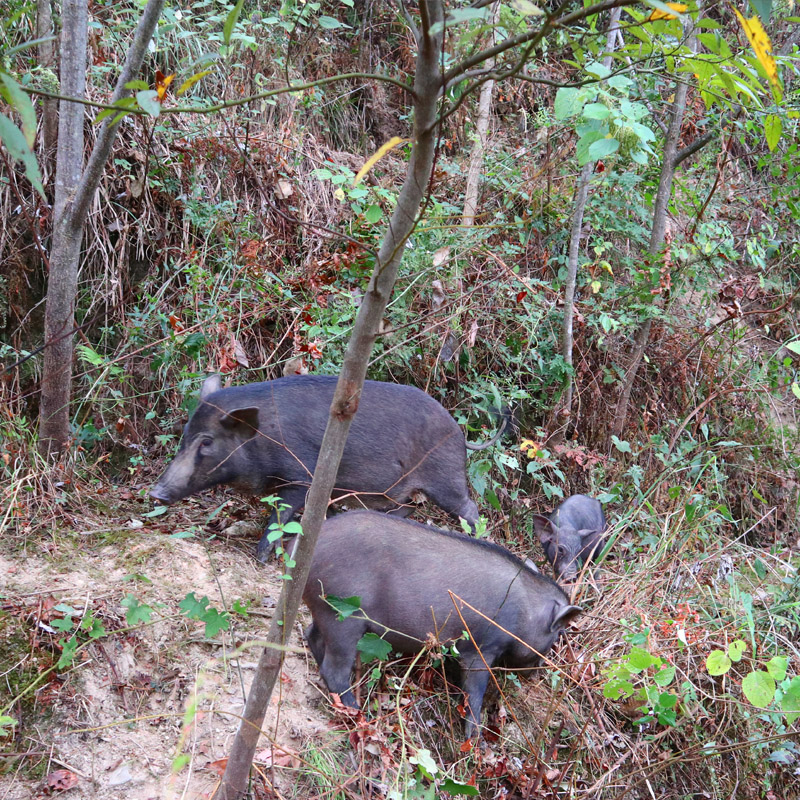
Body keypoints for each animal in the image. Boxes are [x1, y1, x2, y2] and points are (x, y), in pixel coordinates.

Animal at [147, 376, 504, 564]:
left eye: (207, 442)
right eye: (185, 435)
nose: (155, 492)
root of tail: (460, 432)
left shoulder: (301, 478)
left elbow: (279, 517)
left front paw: (261, 558)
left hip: (446, 478)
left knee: (470, 508)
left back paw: (477, 538)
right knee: (407, 509)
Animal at [304, 510, 580, 740]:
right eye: (558, 632)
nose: (536, 673)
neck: (526, 613)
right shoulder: (481, 648)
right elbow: (475, 691)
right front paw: (474, 739)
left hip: (324, 612)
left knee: (311, 636)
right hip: (343, 617)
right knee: (334, 669)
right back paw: (358, 713)